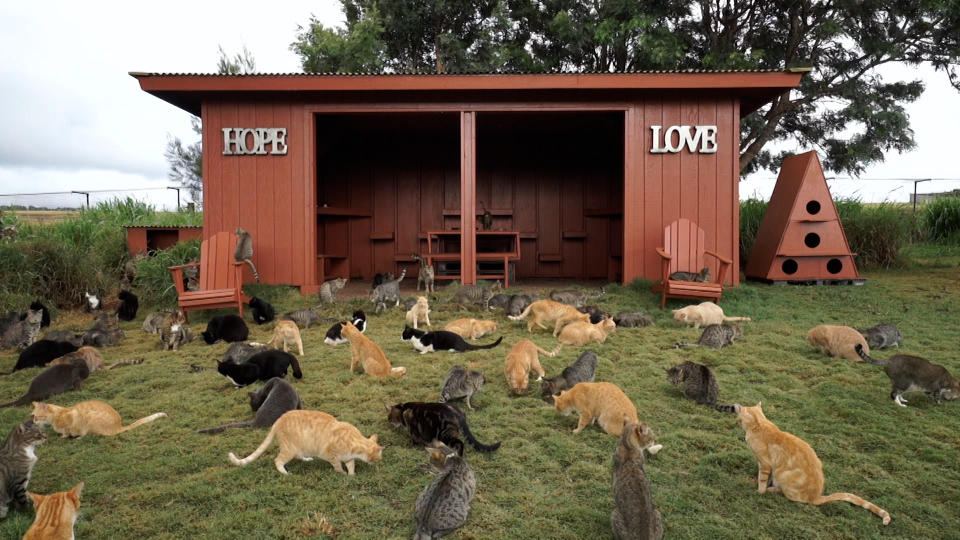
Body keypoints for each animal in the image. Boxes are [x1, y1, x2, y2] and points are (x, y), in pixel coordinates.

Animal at [31, 400, 167, 438]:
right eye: (33, 416)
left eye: (38, 416)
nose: (34, 421)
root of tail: (119, 426)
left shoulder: (73, 417)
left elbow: (66, 431)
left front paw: (64, 436)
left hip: (90, 418)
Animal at [229, 412, 382, 474]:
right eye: (378, 458)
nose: (378, 464)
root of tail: (279, 419)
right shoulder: (330, 455)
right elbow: (338, 466)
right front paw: (343, 474)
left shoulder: (348, 458)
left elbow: (351, 466)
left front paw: (351, 475)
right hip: (289, 449)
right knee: (278, 460)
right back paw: (285, 473)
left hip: (298, 448)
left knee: (298, 456)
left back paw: (307, 459)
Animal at [736, 402, 892, 524]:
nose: (737, 421)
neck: (760, 424)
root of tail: (816, 497)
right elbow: (766, 478)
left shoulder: (765, 464)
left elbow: (762, 480)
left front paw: (760, 491)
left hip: (782, 475)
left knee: (786, 494)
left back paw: (772, 490)